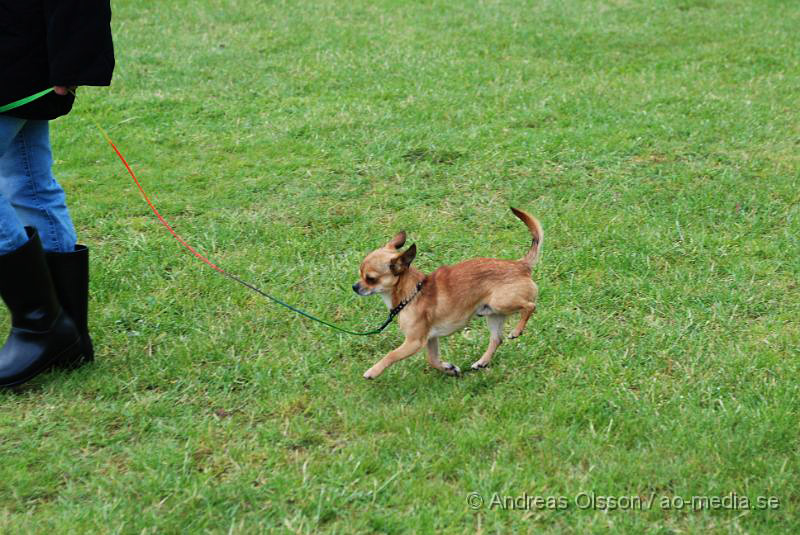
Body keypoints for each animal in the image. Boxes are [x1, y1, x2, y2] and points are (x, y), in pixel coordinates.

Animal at [354, 207, 540, 378]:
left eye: (370, 279)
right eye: (360, 274)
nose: (354, 287)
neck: (411, 293)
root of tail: (520, 265)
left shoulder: (414, 342)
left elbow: (391, 355)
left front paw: (373, 371)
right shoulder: (430, 339)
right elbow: (432, 360)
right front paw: (449, 369)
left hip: (501, 302)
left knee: (530, 306)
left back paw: (516, 331)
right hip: (493, 313)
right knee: (497, 339)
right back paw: (482, 362)